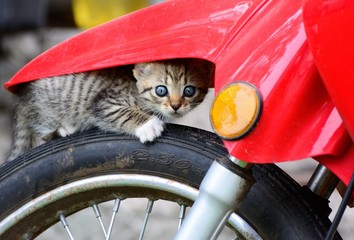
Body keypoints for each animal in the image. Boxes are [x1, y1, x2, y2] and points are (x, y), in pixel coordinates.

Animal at [6, 59, 213, 162]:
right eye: (161, 90)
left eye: (189, 91)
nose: (176, 105)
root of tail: (21, 98)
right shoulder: (105, 103)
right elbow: (123, 113)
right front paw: (149, 125)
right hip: (48, 109)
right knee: (43, 131)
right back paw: (65, 128)